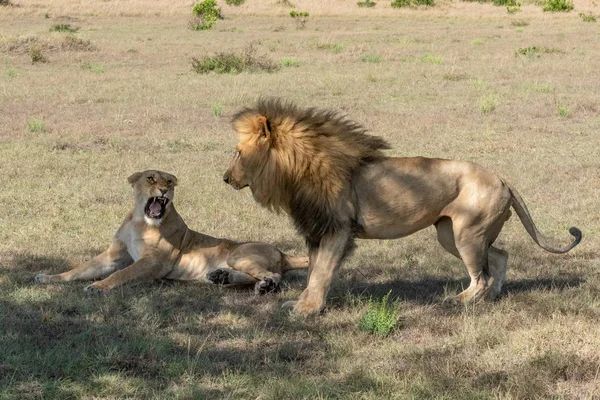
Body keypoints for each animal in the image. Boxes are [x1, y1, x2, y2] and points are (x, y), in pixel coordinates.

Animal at [36, 169, 310, 294]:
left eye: (169, 181)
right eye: (150, 178)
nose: (165, 190)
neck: (140, 220)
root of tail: (283, 253)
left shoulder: (153, 262)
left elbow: (122, 274)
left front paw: (99, 286)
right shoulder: (113, 255)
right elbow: (79, 269)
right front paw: (48, 278)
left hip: (238, 254)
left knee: (273, 275)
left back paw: (265, 285)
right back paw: (221, 277)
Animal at [221, 97, 580, 316]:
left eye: (237, 152)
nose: (225, 178)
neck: (294, 171)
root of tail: (503, 179)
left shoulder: (338, 230)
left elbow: (321, 272)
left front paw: (307, 310)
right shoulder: (316, 231)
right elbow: (313, 273)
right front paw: (306, 304)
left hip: (467, 233)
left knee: (480, 276)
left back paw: (458, 301)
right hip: (451, 234)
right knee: (499, 258)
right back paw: (490, 299)